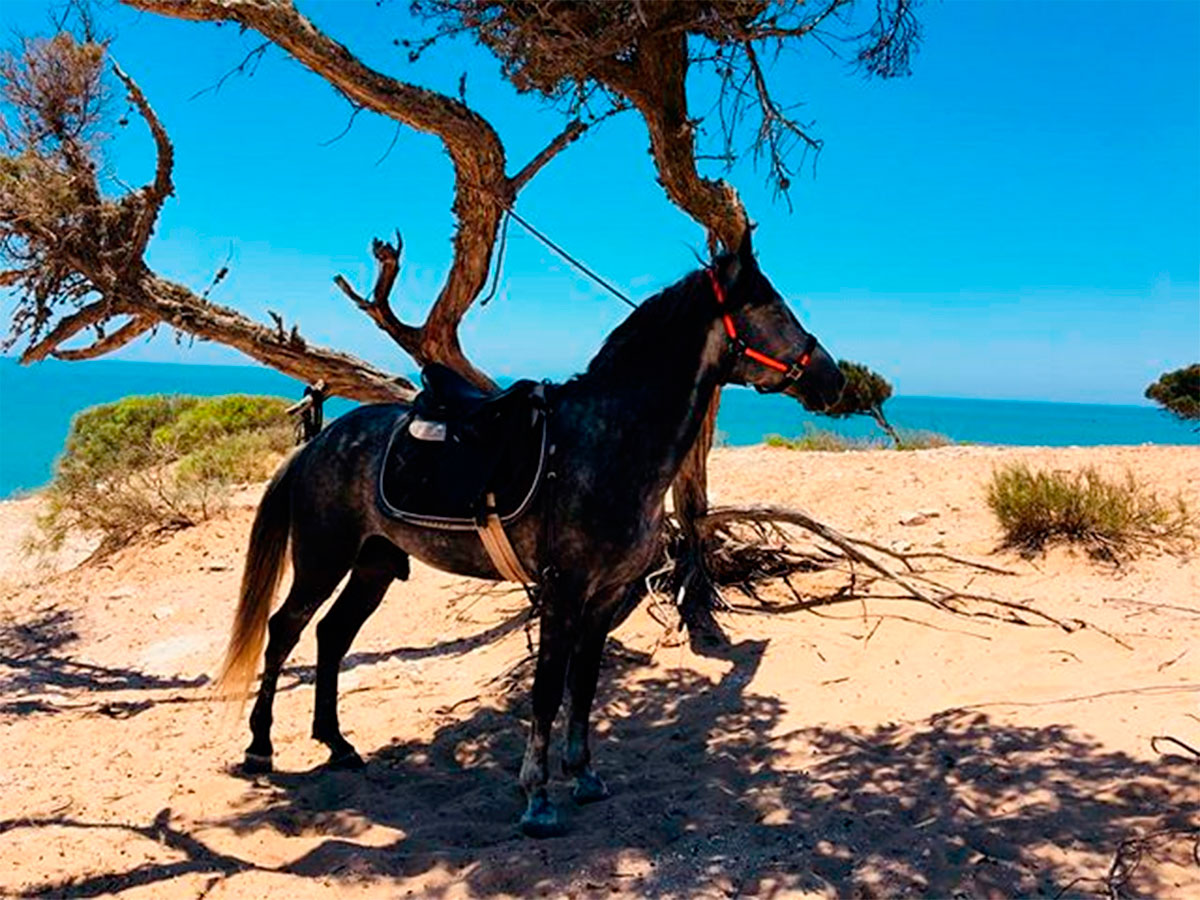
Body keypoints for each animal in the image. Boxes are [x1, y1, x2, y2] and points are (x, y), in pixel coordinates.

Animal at [220, 232, 849, 840]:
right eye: (774, 307)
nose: (835, 379)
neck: (605, 442)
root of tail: (320, 442)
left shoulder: (604, 596)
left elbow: (585, 682)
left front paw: (584, 774)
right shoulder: (563, 591)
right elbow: (547, 689)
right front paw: (538, 799)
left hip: (374, 566)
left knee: (331, 636)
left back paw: (337, 743)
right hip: (323, 561)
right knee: (284, 632)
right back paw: (260, 747)